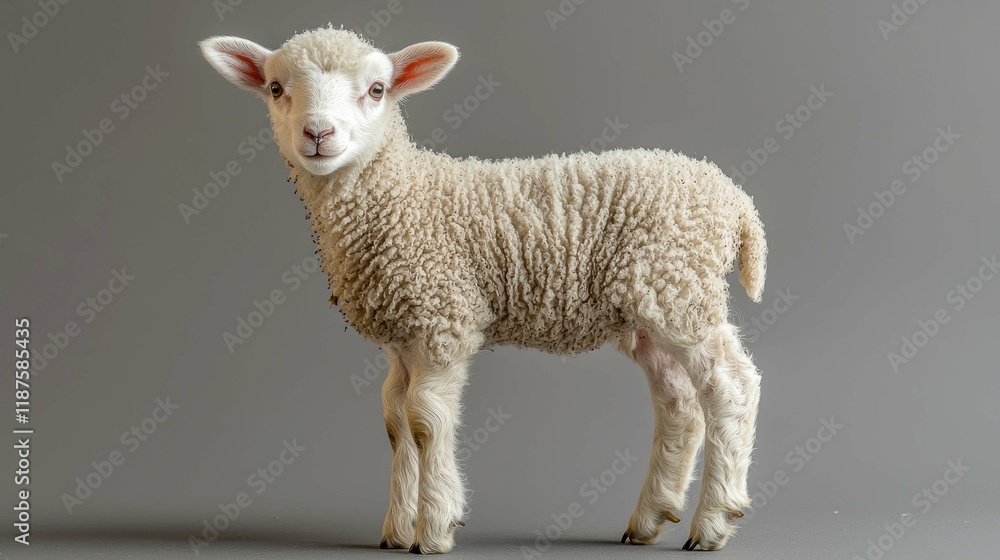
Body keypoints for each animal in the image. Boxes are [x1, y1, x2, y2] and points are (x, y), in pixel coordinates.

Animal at [200, 26, 767, 554]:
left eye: (377, 89)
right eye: (276, 88)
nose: (318, 132)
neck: (402, 197)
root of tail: (736, 198)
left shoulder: (442, 319)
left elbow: (425, 420)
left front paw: (433, 529)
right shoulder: (402, 336)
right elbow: (394, 419)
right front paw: (396, 530)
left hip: (679, 287)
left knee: (731, 385)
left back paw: (714, 521)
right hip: (651, 308)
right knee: (678, 401)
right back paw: (650, 518)